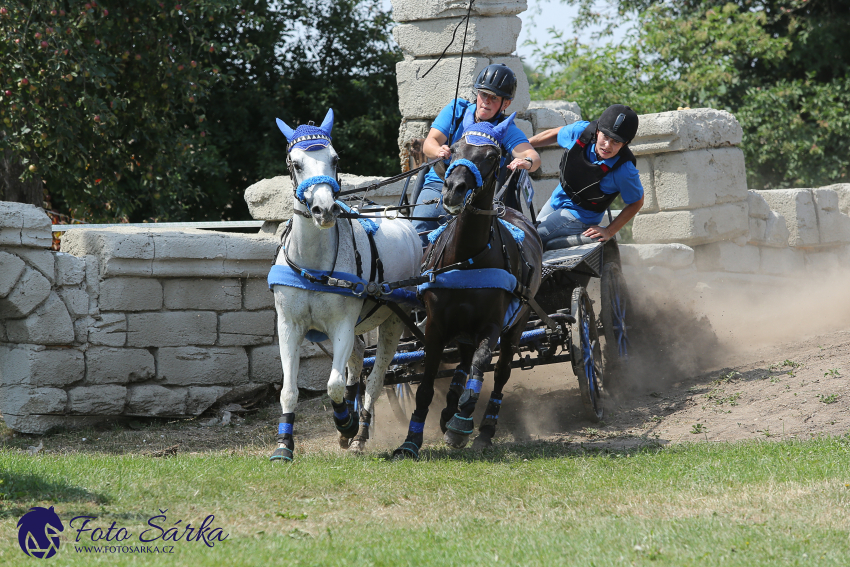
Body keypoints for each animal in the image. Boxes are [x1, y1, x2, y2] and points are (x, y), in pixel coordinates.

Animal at [268, 110, 420, 462]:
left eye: (335, 159)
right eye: (296, 163)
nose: (325, 209)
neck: (313, 265)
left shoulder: (342, 325)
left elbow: (334, 385)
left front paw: (345, 423)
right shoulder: (289, 325)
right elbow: (289, 390)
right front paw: (284, 444)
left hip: (393, 320)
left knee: (376, 377)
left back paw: (360, 429)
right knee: (359, 358)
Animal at [392, 113, 540, 460]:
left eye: (492, 155)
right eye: (455, 147)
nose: (454, 189)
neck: (467, 258)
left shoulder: (493, 324)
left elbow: (480, 368)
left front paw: (461, 425)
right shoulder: (435, 327)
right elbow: (426, 387)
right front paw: (411, 440)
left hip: (518, 323)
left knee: (499, 374)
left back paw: (483, 430)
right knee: (461, 364)